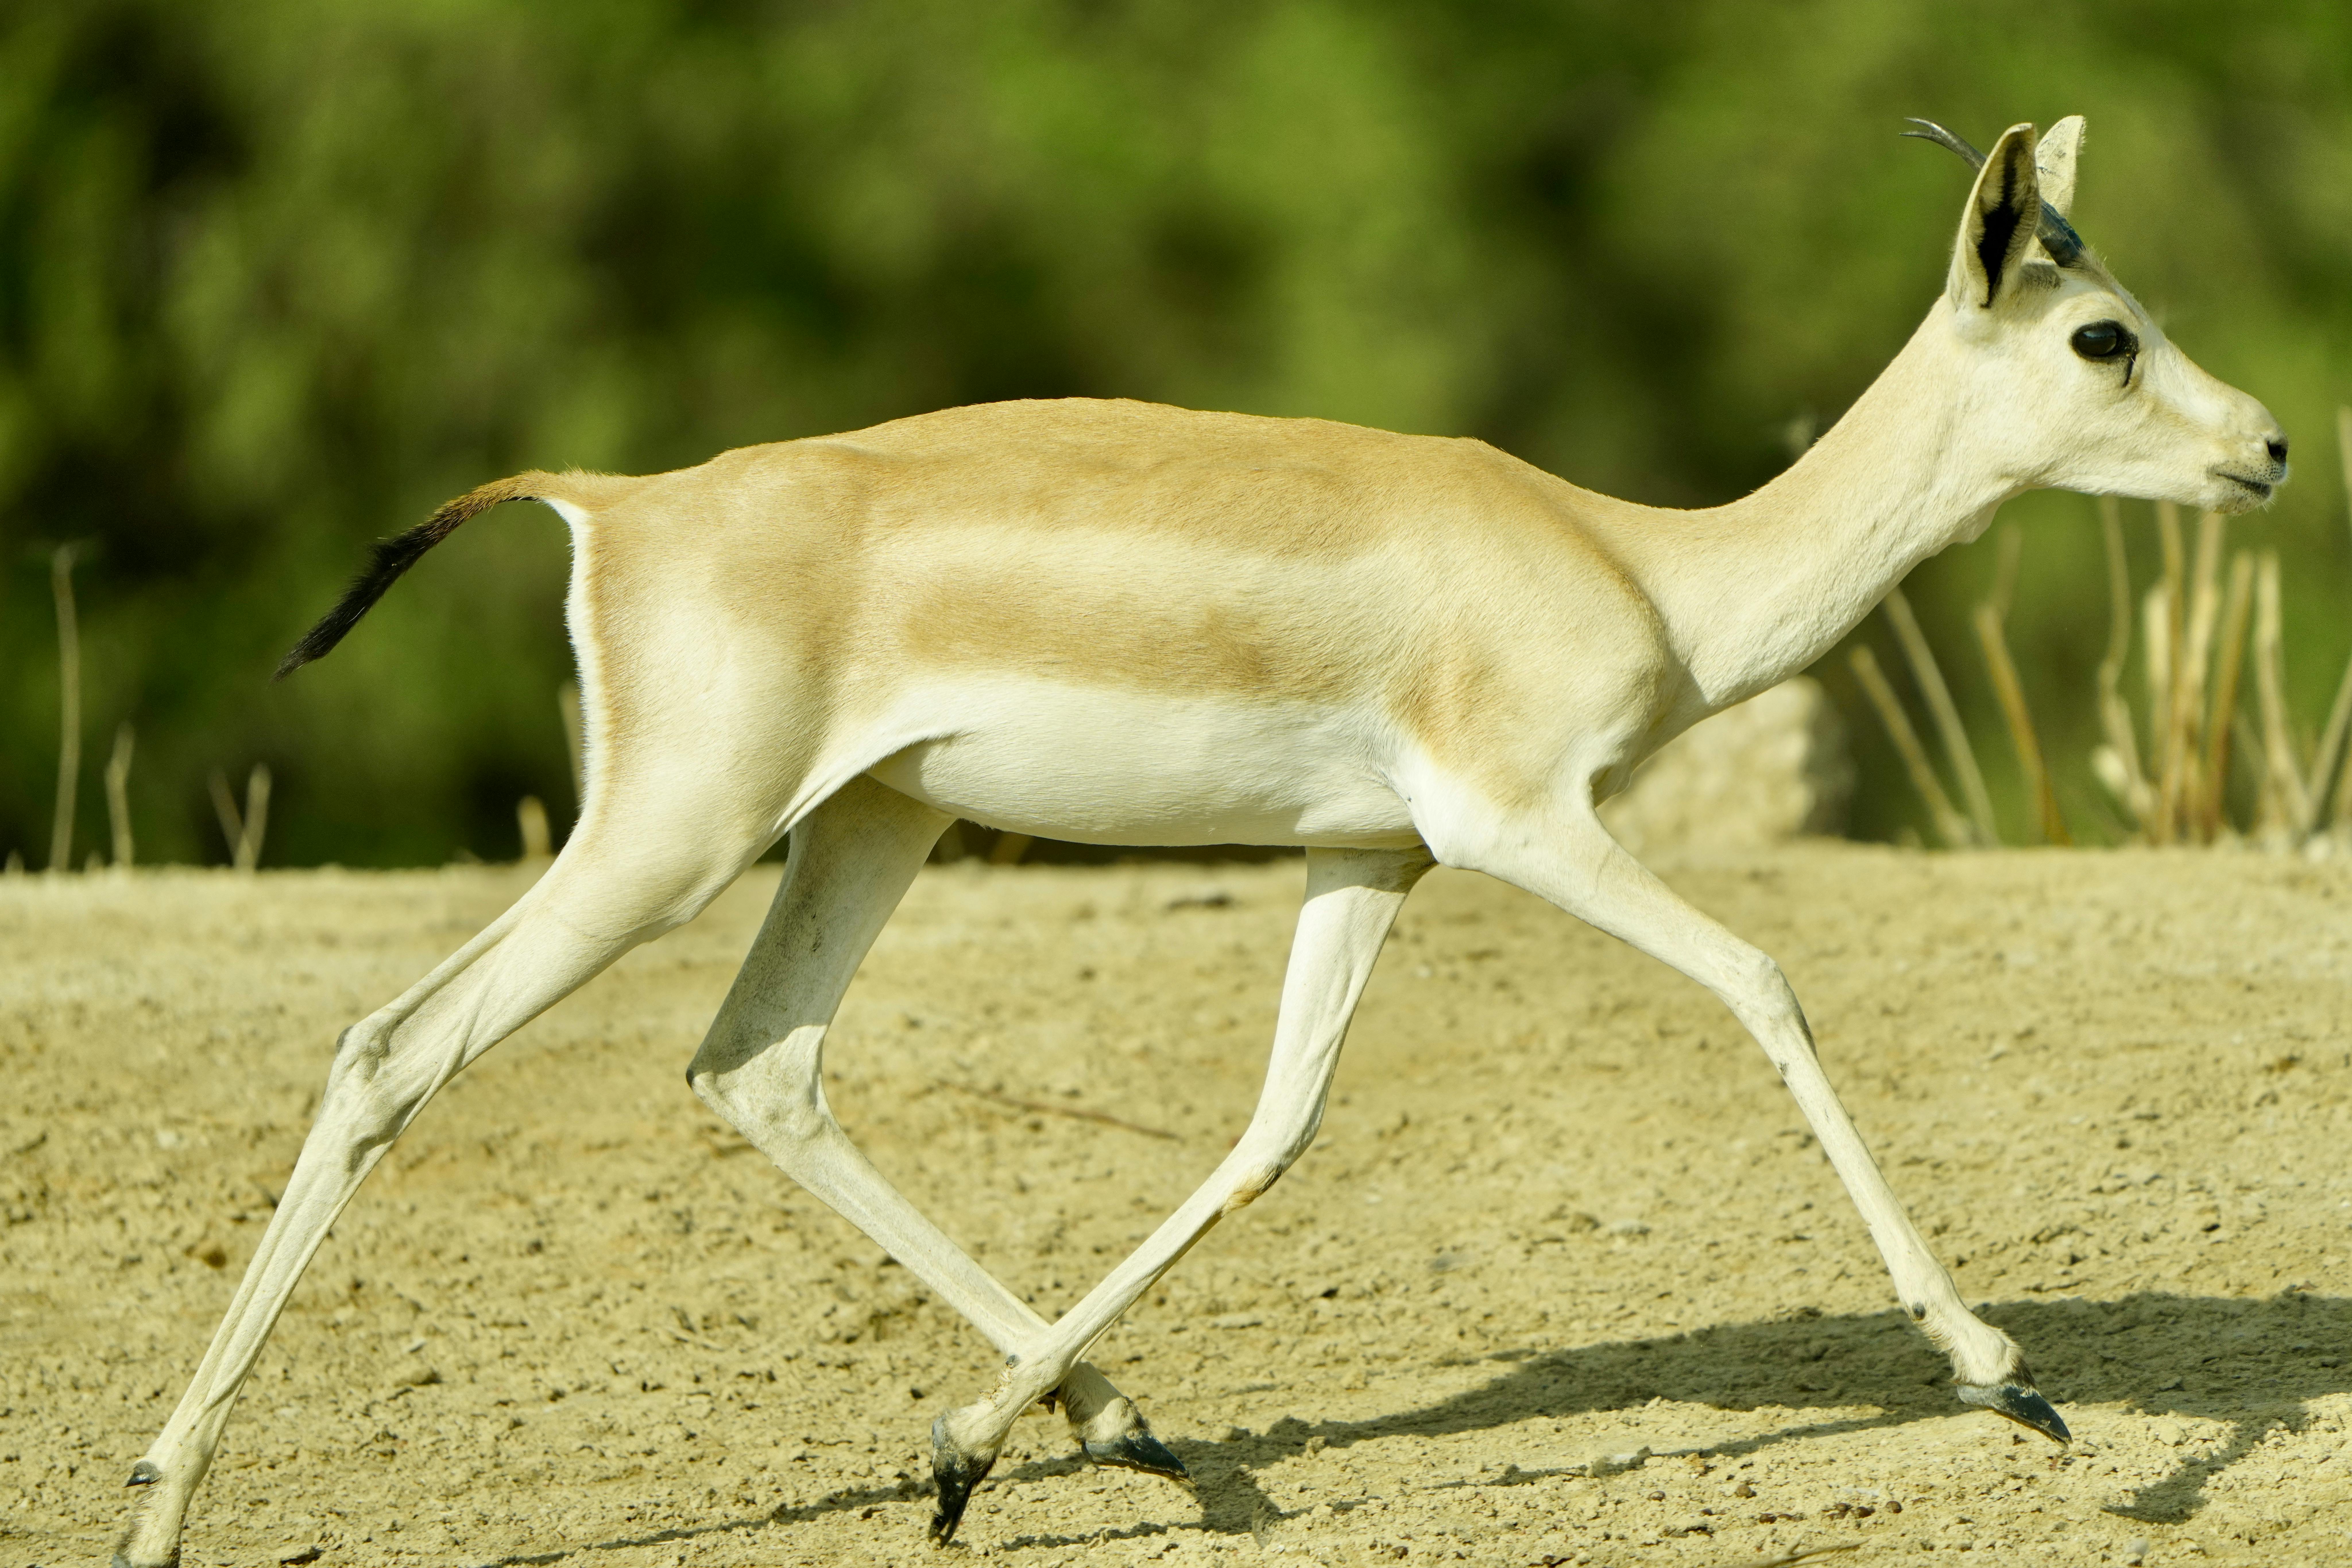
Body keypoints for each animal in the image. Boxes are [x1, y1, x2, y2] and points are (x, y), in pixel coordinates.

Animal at [116, 117, 2287, 1564]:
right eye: (2102, 335)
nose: (2269, 443)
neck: (1647, 567)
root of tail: (614, 500)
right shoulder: (1522, 821)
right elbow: (1764, 977)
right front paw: (2005, 1372)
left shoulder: (1370, 862)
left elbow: (1271, 1134)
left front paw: (962, 1453)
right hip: (674, 836)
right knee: (393, 1050)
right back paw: (158, 1500)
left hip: (866, 827)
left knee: (759, 1070)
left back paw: (1125, 1429)